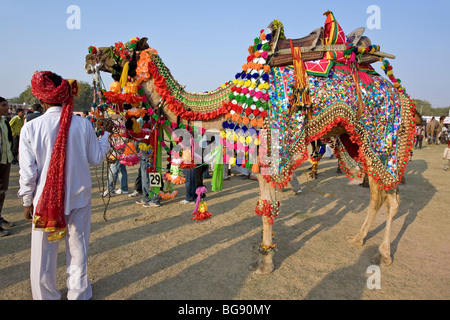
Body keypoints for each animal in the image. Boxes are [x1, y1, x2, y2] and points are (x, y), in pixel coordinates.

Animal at [84, 11, 414, 272]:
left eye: (121, 49)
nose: (90, 55)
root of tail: (399, 93)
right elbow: (265, 207)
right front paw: (264, 251)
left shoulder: (271, 153)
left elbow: (268, 208)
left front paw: (265, 262)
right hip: (355, 140)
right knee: (377, 193)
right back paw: (358, 237)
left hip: (383, 134)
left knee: (393, 197)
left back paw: (383, 254)